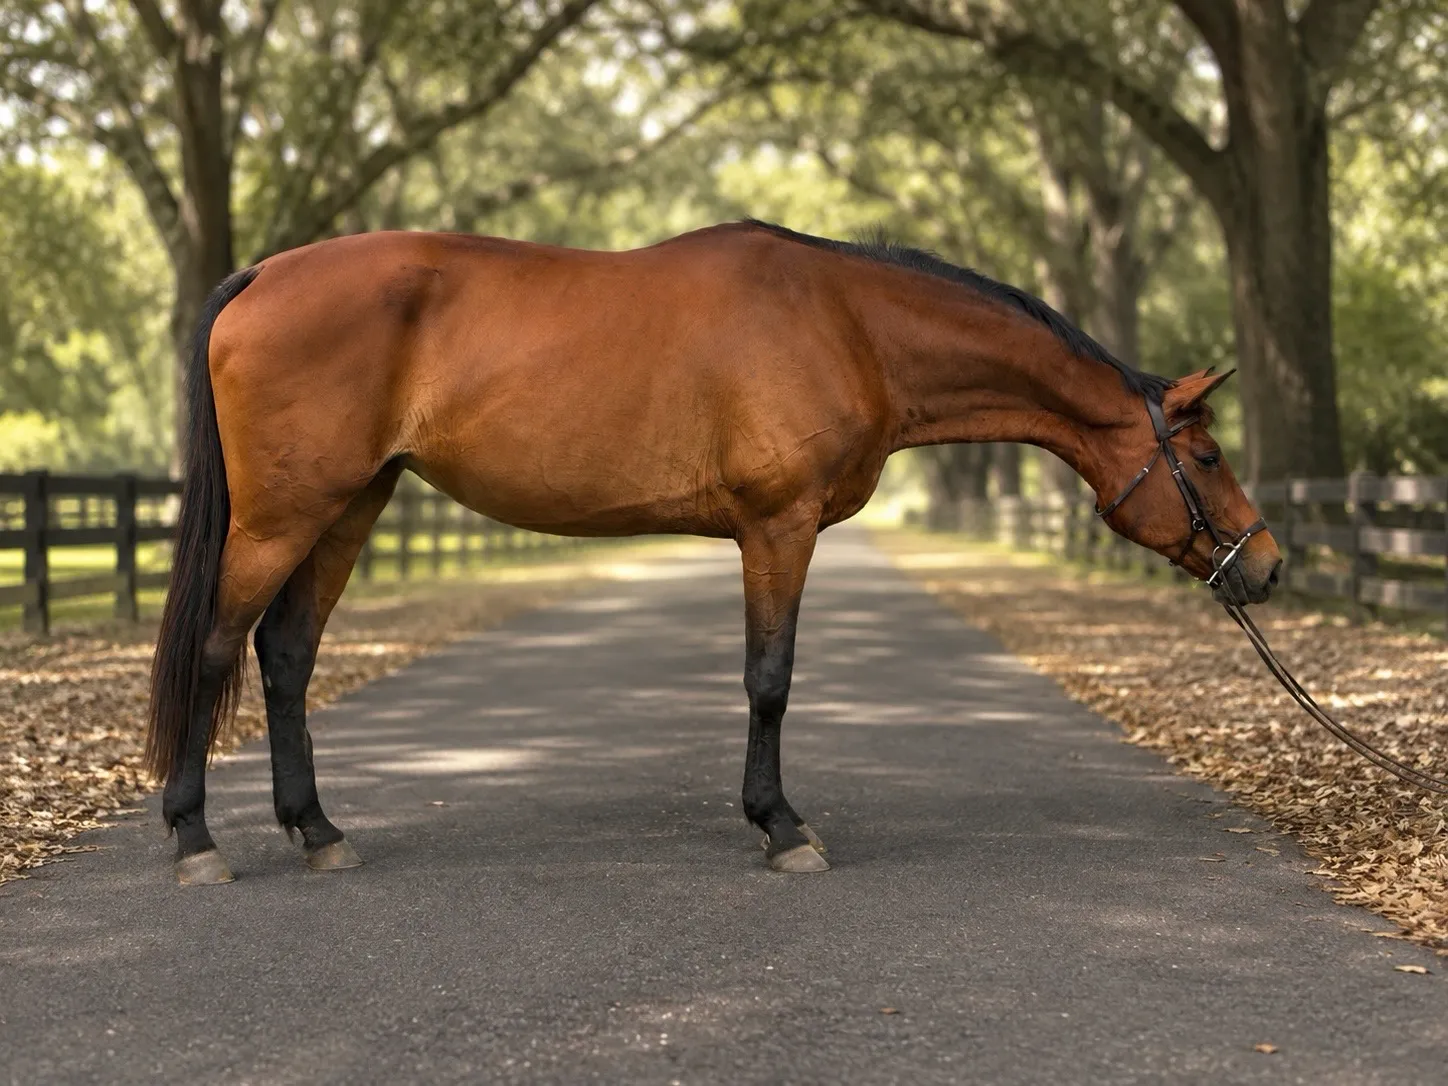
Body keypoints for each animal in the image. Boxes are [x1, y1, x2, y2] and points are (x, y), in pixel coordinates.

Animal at [146, 220, 1281, 886]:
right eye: (1209, 455)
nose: (1266, 565)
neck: (844, 319)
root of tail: (261, 275)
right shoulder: (777, 526)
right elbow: (769, 679)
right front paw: (781, 827)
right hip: (282, 517)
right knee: (216, 648)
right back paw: (196, 839)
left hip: (349, 507)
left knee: (286, 655)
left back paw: (317, 831)